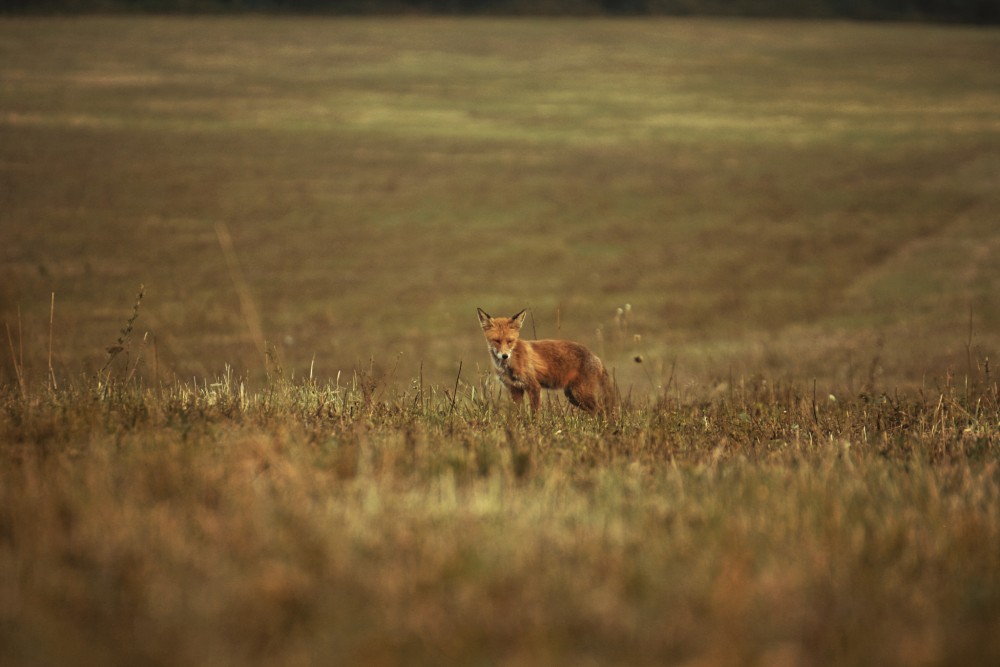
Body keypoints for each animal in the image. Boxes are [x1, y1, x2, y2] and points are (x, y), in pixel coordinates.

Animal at [478, 310, 612, 414]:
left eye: (510, 341)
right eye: (497, 341)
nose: (504, 356)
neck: (511, 363)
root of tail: (595, 356)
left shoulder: (534, 386)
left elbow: (535, 415)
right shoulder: (515, 389)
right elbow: (520, 415)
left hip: (580, 394)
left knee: (601, 410)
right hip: (573, 396)